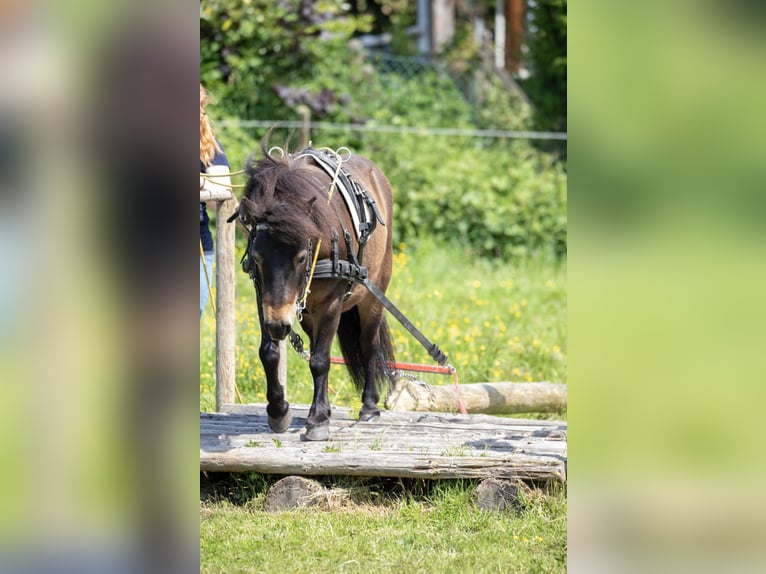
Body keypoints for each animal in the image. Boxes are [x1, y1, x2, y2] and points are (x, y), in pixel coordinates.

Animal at [236, 142, 396, 444]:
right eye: (258, 258)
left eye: (300, 257)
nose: (279, 325)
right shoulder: (264, 298)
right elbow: (270, 352)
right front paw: (278, 410)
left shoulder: (331, 304)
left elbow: (321, 360)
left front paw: (318, 420)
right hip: (308, 312)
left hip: (373, 296)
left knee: (368, 345)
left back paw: (369, 406)